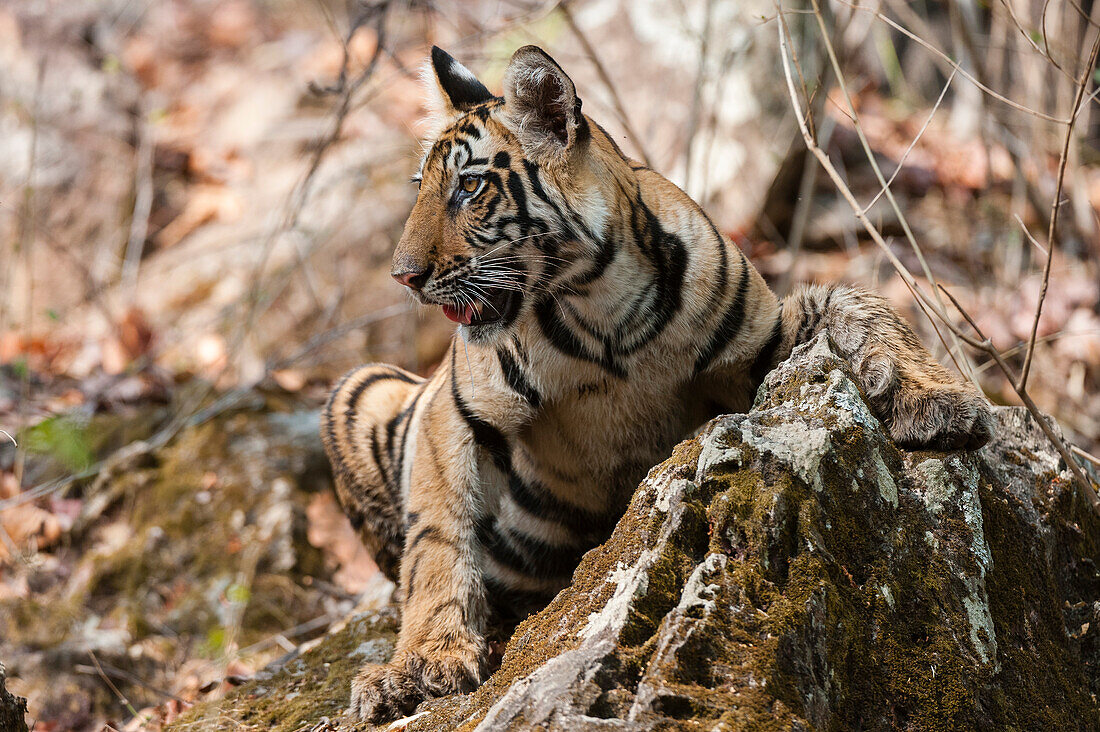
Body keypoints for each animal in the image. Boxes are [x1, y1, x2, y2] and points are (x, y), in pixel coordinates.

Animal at [321, 44, 998, 717]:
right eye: (422, 189)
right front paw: (421, 666)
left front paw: (940, 403)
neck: (598, 306)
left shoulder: (766, 342)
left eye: (469, 186)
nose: (403, 276)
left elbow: (860, 302)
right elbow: (438, 538)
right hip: (359, 387)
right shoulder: (457, 411)